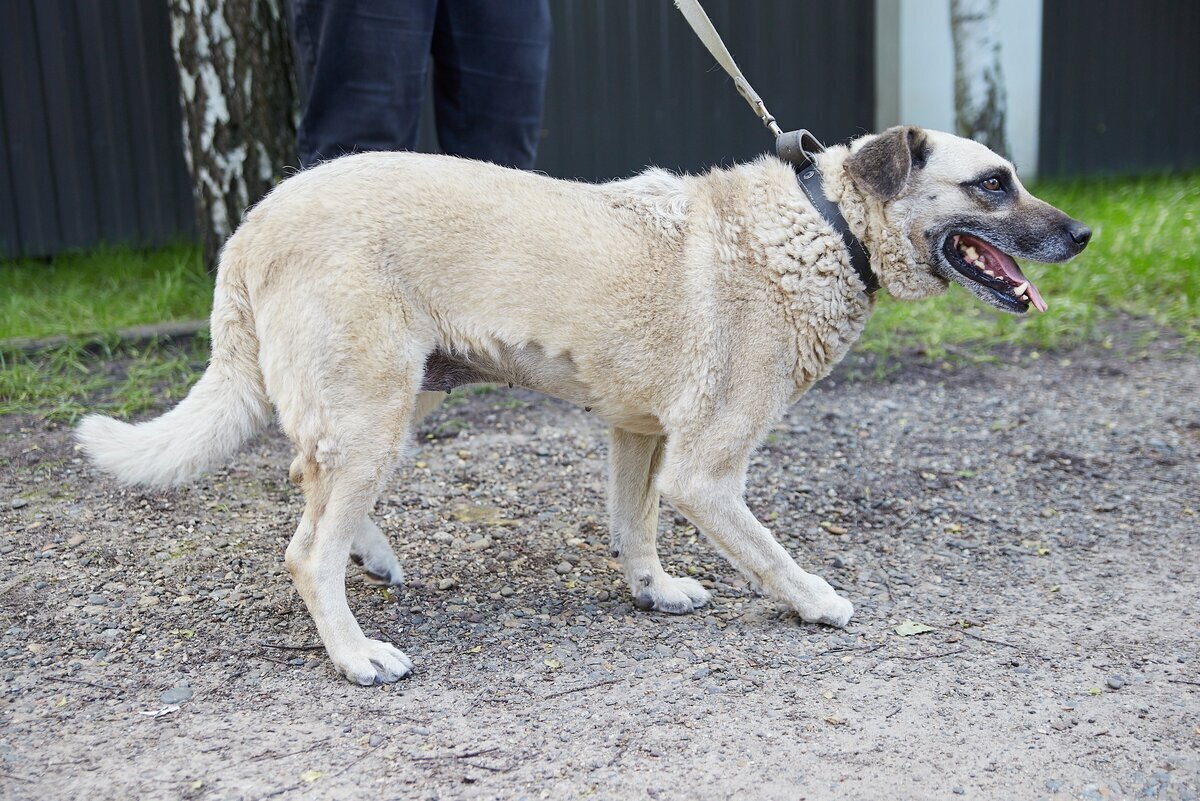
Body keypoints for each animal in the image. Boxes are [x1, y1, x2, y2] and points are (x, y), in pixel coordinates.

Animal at [72, 128, 1089, 685]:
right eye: (993, 182)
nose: (1084, 232)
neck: (824, 226)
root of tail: (253, 224)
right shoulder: (706, 472)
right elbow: (771, 552)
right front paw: (816, 600)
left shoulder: (637, 437)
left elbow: (633, 526)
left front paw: (653, 590)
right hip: (372, 410)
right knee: (304, 548)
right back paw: (358, 654)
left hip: (395, 405)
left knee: (309, 484)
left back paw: (372, 552)